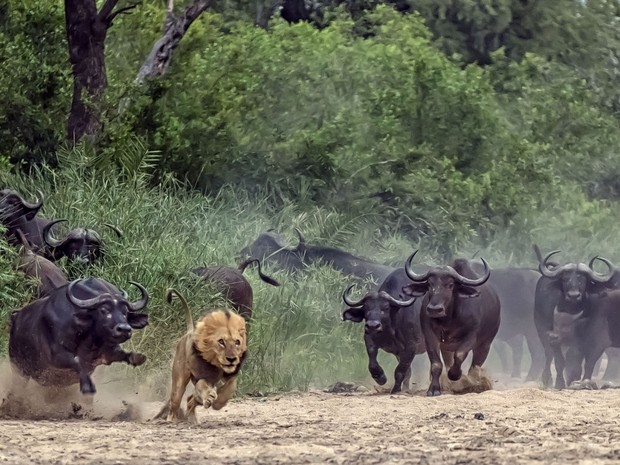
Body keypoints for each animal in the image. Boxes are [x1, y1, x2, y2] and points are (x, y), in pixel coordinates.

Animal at [6, 276, 149, 396]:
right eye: (104, 310)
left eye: (125, 312)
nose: (124, 329)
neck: (89, 339)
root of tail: (15, 317)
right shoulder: (56, 356)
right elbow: (77, 361)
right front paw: (87, 386)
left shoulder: (107, 353)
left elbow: (121, 354)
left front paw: (137, 357)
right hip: (18, 369)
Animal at [154, 288, 248, 422]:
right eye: (221, 342)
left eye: (237, 342)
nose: (231, 359)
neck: (217, 366)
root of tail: (189, 332)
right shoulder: (201, 376)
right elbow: (202, 384)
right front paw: (210, 397)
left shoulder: (230, 375)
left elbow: (231, 386)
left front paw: (219, 401)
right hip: (179, 383)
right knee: (174, 404)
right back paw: (171, 420)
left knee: (190, 400)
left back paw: (194, 419)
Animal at [404, 250, 502, 396]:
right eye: (429, 284)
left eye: (450, 285)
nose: (434, 309)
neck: (449, 319)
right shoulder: (430, 336)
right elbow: (436, 364)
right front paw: (434, 389)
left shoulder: (471, 337)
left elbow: (460, 355)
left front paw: (456, 375)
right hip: (447, 348)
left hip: (485, 344)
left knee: (475, 367)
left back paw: (475, 384)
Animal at [532, 250, 616, 388]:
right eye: (565, 279)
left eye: (582, 279)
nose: (573, 295)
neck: (570, 311)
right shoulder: (554, 336)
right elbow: (559, 361)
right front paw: (560, 384)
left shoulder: (584, 338)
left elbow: (577, 360)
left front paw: (575, 379)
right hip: (541, 330)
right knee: (548, 355)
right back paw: (547, 380)